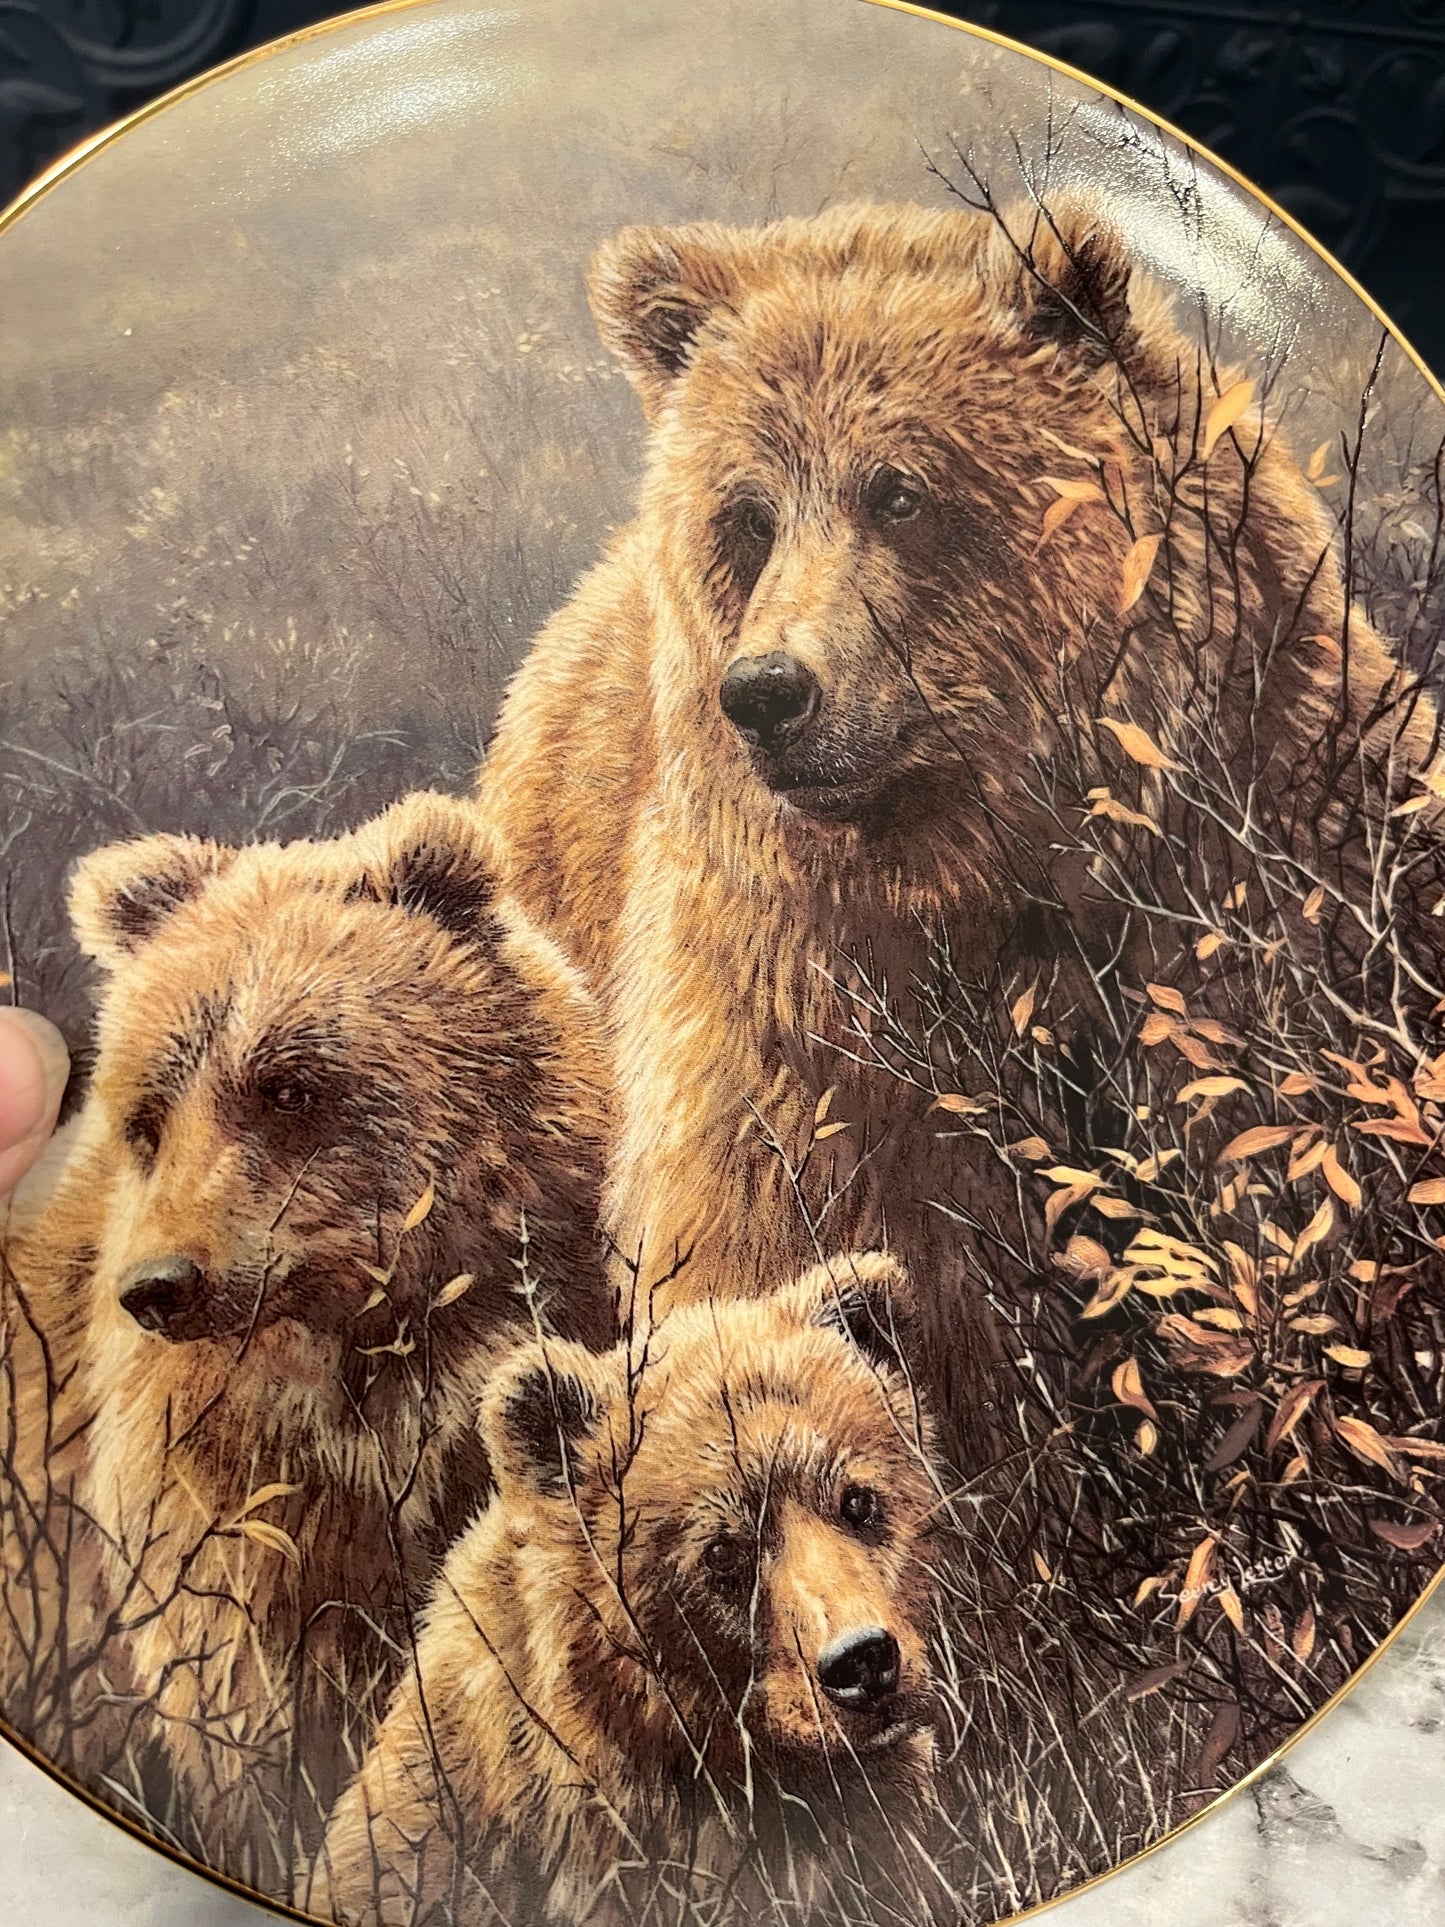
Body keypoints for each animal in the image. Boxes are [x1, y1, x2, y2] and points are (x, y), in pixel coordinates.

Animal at [478, 197, 1443, 1473]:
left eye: (896, 491)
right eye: (747, 514)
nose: (767, 693)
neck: (988, 858)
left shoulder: (1269, 862)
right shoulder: (802, 1002)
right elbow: (785, 1244)